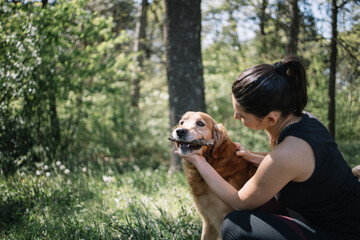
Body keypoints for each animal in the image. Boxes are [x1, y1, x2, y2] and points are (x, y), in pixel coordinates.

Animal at [169, 111, 258, 239]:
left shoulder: (221, 219)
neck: (213, 162)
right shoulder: (208, 221)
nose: (180, 131)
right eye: (182, 122)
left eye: (200, 123)